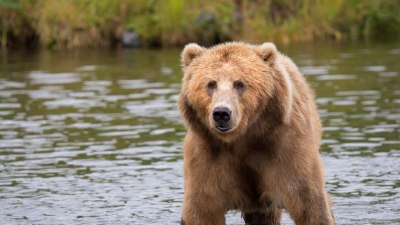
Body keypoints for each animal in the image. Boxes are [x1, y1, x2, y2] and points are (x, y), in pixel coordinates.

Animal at [178, 42, 334, 225]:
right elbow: (202, 207)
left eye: (239, 83)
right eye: (211, 84)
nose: (221, 113)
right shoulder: (208, 154)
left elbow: (308, 200)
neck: (243, 138)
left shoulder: (284, 147)